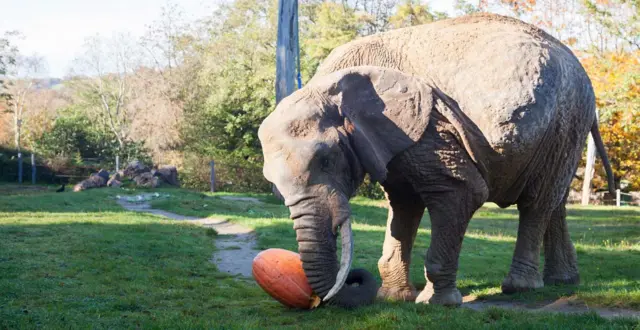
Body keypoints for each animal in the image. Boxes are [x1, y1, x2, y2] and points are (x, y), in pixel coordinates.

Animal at [256, 11, 616, 308]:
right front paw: (394, 298)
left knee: (537, 202)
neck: (329, 85)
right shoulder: (397, 139)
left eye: (326, 160)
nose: (352, 281)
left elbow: (461, 193)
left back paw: (521, 288)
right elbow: (404, 203)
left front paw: (436, 304)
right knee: (555, 200)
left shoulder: (430, 128)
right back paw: (562, 282)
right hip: (563, 127)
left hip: (566, 117)